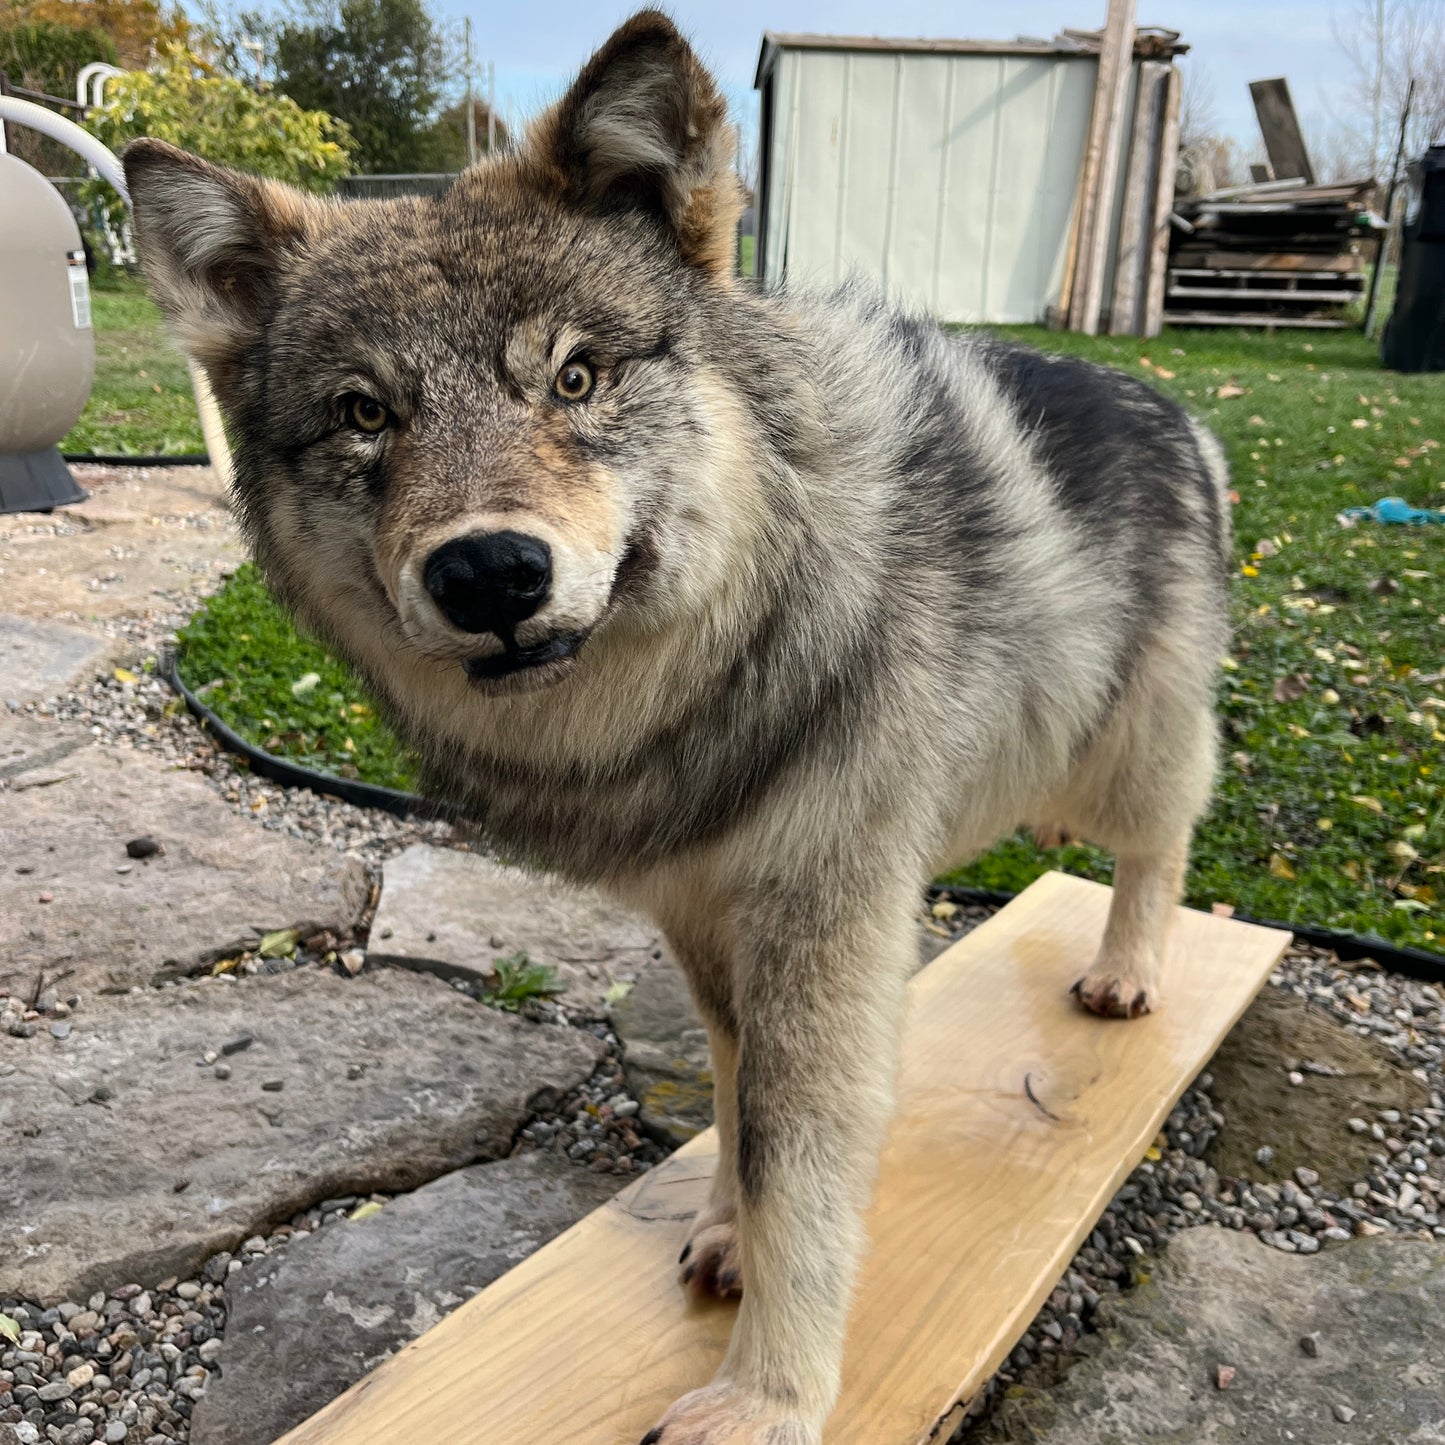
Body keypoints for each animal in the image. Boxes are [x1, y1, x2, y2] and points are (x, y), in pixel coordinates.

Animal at [127, 14, 1231, 1445]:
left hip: (1125, 755)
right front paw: (725, 1234)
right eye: (367, 413)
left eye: (576, 376)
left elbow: (799, 1161)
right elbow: (734, 1105)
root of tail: (1177, 407)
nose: (488, 573)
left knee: (1159, 848)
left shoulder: (823, 926)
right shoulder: (703, 918)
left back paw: (1127, 970)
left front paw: (767, 1398)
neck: (698, 691)